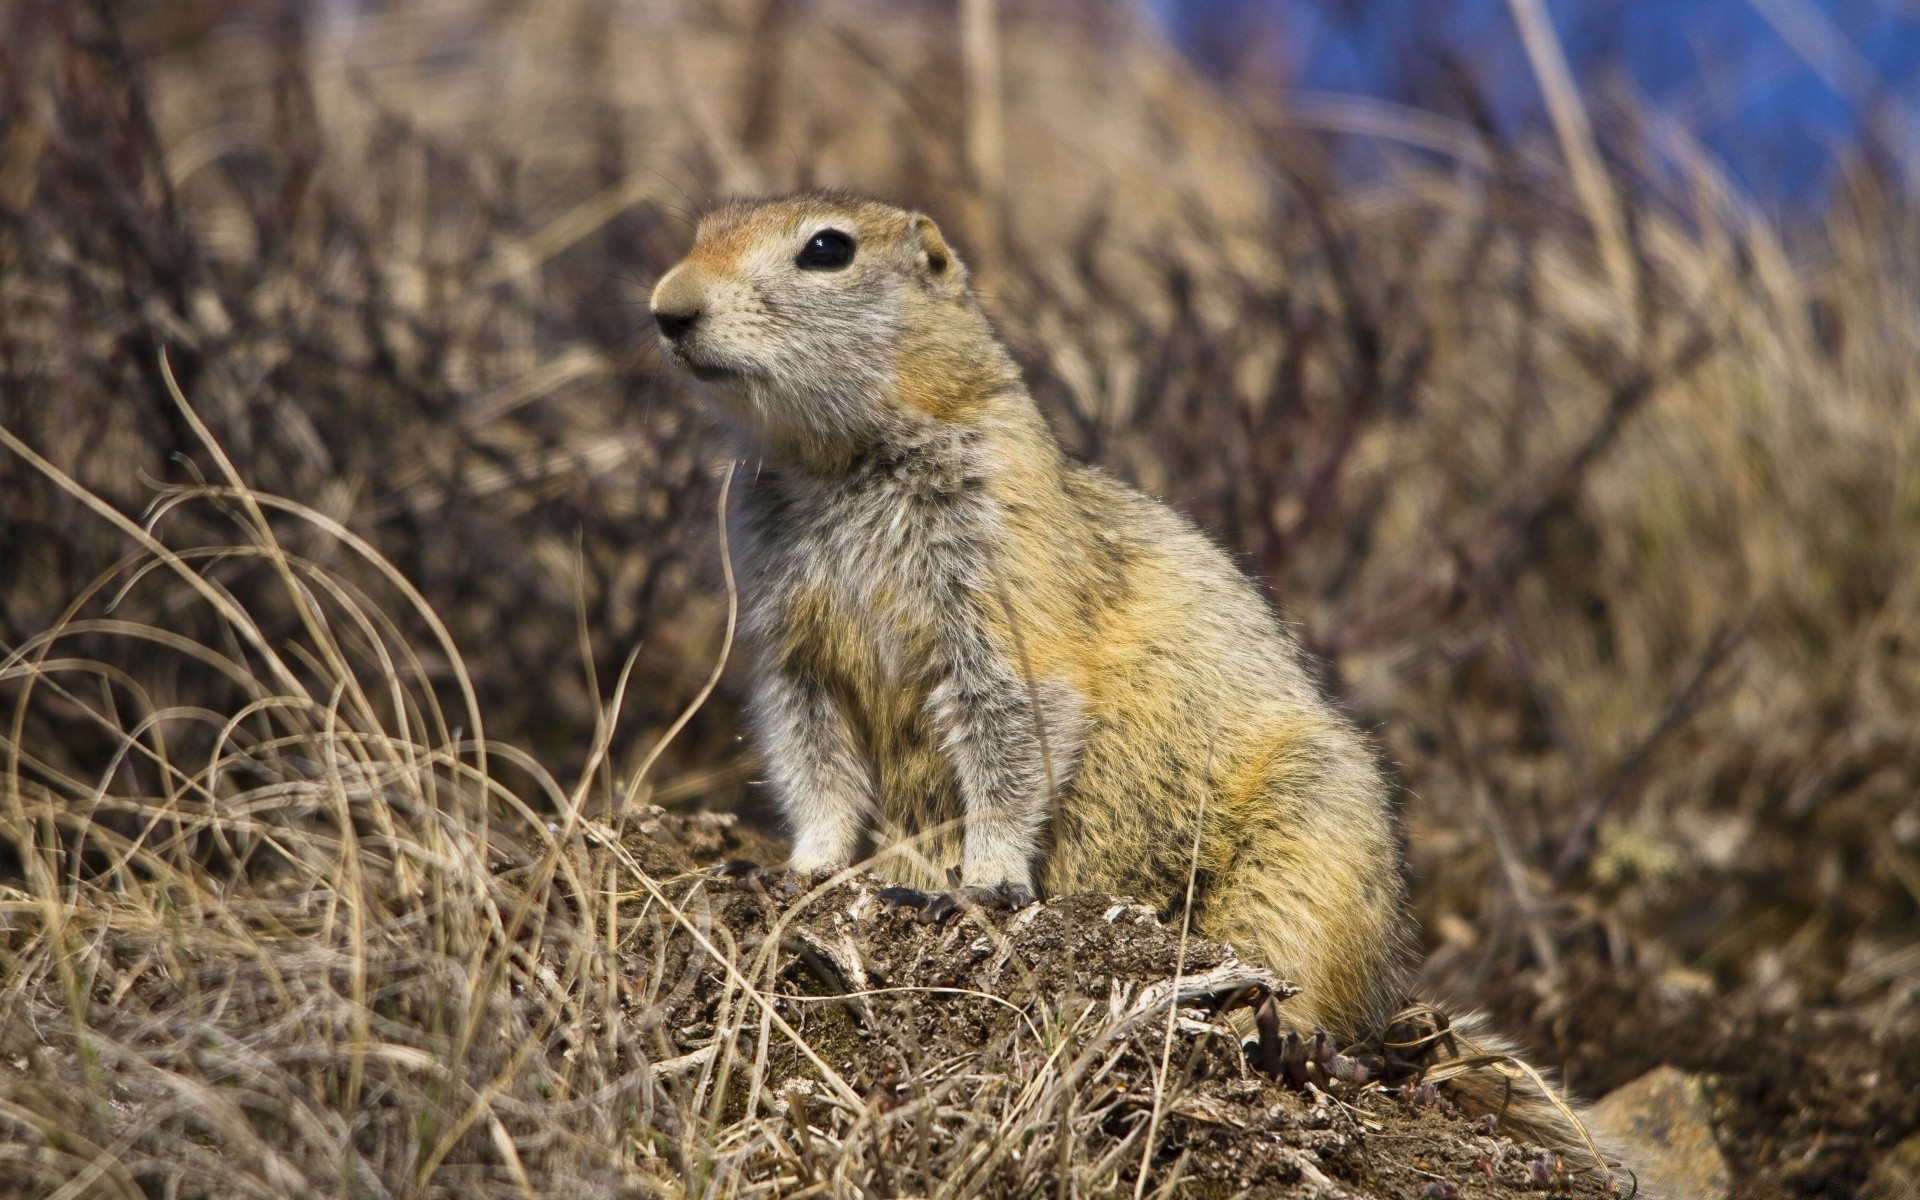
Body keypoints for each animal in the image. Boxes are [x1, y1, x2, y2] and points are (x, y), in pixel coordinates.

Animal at [645, 196, 1620, 1182]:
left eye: (827, 249)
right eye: (702, 227)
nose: (666, 309)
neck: (833, 463)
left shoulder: (998, 576)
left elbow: (1013, 718)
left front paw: (979, 881)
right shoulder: (788, 644)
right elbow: (812, 753)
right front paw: (800, 867)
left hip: (1314, 839)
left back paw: (1286, 1040)